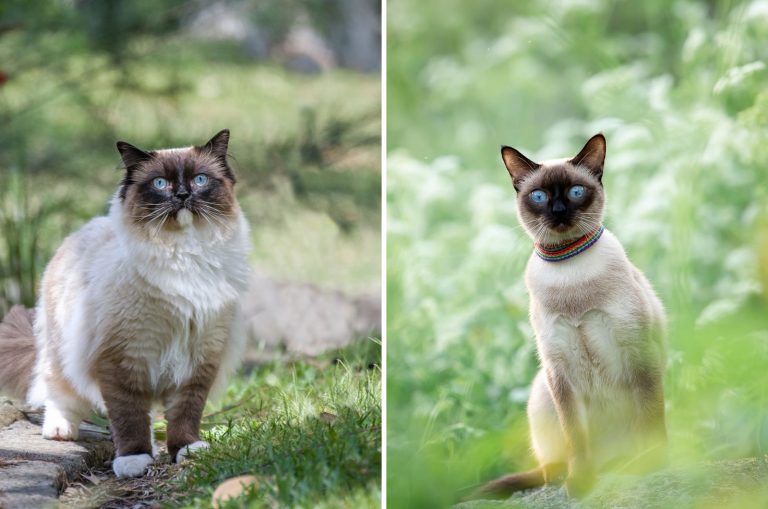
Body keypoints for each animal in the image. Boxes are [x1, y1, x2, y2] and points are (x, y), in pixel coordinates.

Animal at [0, 129, 249, 478]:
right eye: (160, 183)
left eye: (200, 179)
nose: (183, 194)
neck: (183, 254)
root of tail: (81, 231)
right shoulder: (122, 359)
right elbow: (129, 417)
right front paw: (134, 460)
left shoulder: (199, 358)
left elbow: (186, 412)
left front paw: (186, 450)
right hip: (62, 352)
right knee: (56, 391)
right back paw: (60, 431)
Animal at [480, 133, 664, 498]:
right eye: (539, 196)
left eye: (576, 192)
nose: (559, 212)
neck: (570, 271)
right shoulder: (560, 367)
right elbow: (575, 437)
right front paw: (580, 482)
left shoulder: (638, 351)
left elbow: (650, 419)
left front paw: (651, 464)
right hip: (542, 391)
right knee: (550, 463)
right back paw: (562, 474)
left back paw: (624, 464)